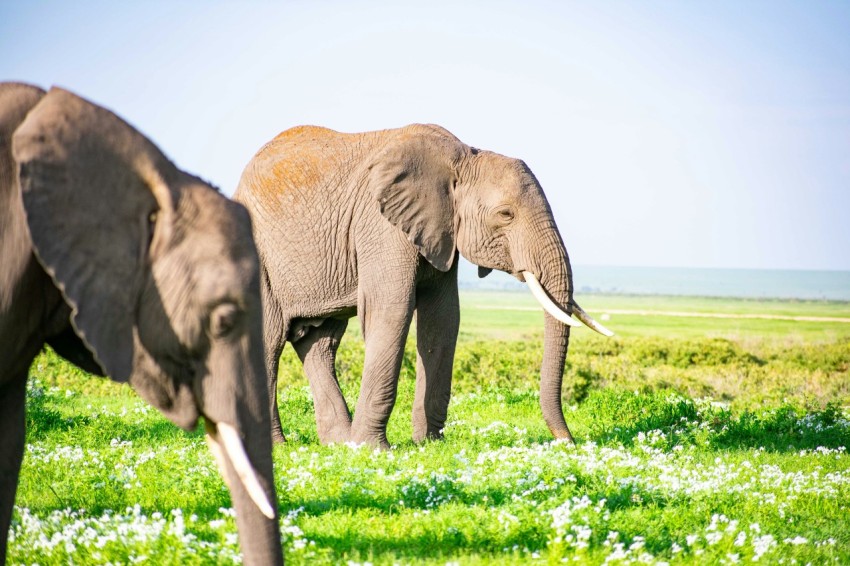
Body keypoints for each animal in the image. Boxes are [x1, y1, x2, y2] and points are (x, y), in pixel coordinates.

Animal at [234, 122, 608, 450]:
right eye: (506, 215)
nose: (568, 442)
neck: (463, 157)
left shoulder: (441, 229)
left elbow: (444, 318)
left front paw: (429, 444)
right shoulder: (381, 224)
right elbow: (392, 311)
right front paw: (374, 450)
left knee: (321, 343)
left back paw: (338, 444)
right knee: (268, 340)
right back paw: (280, 447)